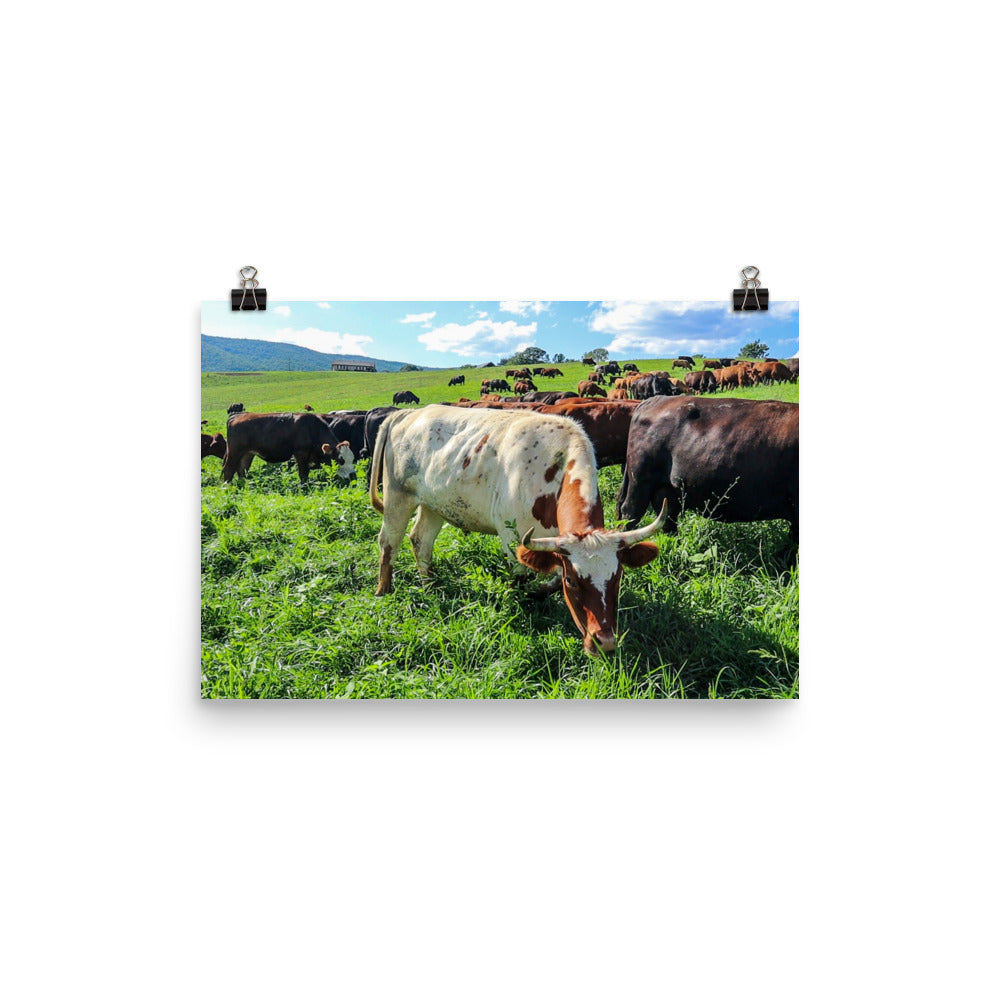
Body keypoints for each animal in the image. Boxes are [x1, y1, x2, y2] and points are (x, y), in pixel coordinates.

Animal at [368, 404, 667, 654]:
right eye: (574, 581)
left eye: (618, 577)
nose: (604, 643)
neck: (554, 469)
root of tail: (408, 413)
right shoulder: (512, 538)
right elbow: (521, 580)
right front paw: (521, 607)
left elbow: (550, 580)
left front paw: (539, 593)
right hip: (397, 497)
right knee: (388, 542)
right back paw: (384, 591)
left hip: (434, 505)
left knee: (421, 541)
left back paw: (430, 585)